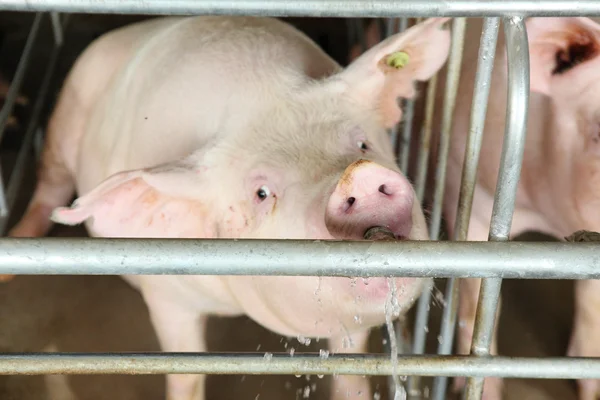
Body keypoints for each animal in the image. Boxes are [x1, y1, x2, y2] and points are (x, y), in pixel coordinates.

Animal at [7, 16, 450, 400]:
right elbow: (186, 373)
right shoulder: (167, 294)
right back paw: (13, 265)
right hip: (65, 115)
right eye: (262, 193)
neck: (261, 92)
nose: (356, 177)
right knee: (50, 186)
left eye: (362, 144)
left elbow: (352, 368)